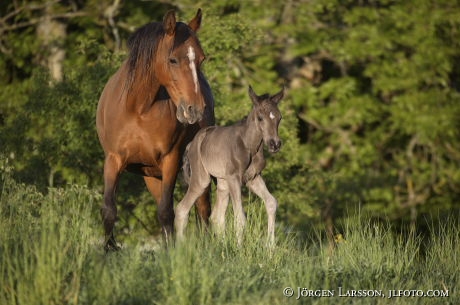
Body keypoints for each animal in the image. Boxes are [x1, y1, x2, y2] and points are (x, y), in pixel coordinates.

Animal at [97, 8, 216, 249]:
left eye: (201, 58)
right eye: (172, 59)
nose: (195, 110)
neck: (137, 109)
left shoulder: (170, 160)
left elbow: (166, 212)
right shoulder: (113, 160)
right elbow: (109, 210)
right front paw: (108, 249)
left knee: (203, 209)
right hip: (152, 176)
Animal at [175, 84, 284, 243]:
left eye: (279, 117)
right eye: (260, 118)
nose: (274, 144)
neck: (249, 146)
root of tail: (191, 144)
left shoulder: (253, 178)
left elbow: (271, 203)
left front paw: (270, 247)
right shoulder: (234, 178)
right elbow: (240, 217)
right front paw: (239, 248)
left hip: (222, 182)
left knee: (216, 216)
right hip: (202, 179)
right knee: (182, 209)